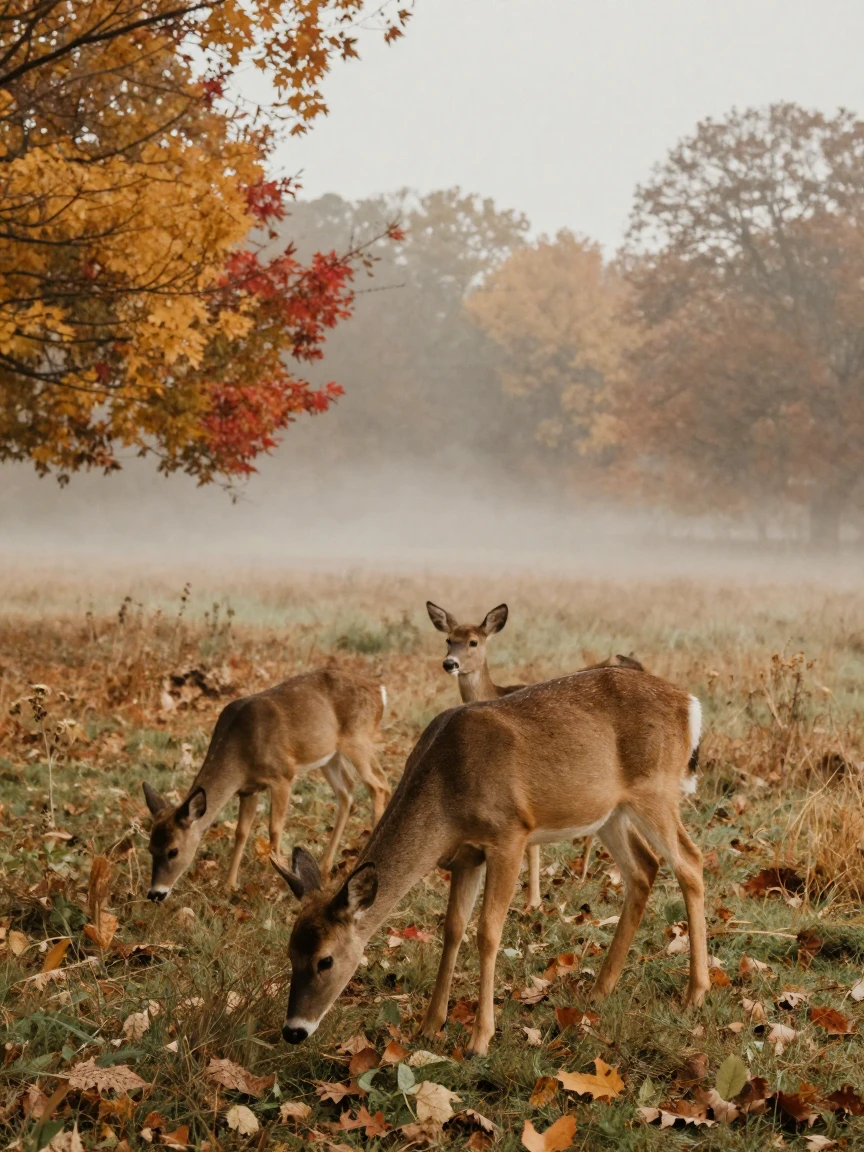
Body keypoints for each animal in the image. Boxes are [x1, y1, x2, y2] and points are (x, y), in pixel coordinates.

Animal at [142, 668, 390, 902]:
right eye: (150, 848)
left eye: (173, 851)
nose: (155, 894)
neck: (241, 752)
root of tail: (379, 691)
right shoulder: (248, 790)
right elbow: (241, 832)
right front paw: (229, 885)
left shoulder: (282, 775)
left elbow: (275, 828)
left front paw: (279, 879)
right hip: (330, 755)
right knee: (350, 790)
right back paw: (325, 866)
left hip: (357, 738)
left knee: (378, 785)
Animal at [271, 665, 708, 1055]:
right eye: (290, 951)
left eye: (325, 961)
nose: (293, 1031)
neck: (447, 793)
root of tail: (691, 704)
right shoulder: (466, 856)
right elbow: (452, 929)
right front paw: (429, 1027)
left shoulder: (509, 835)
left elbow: (488, 933)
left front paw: (479, 1040)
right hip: (610, 811)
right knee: (644, 867)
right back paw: (600, 991)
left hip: (655, 790)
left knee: (690, 862)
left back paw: (694, 994)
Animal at [425, 600, 644, 907]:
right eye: (448, 639)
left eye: (473, 641)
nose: (450, 663)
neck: (495, 692)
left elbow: (531, 847)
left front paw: (533, 901)